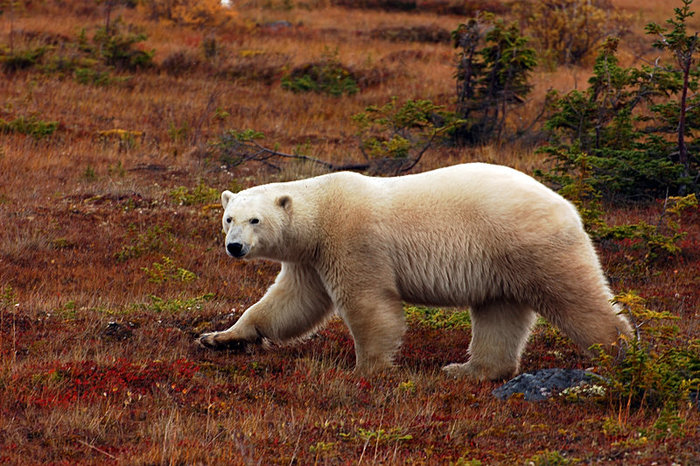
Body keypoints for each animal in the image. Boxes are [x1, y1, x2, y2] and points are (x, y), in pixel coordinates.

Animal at [198, 162, 636, 380]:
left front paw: (367, 369)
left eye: (255, 220)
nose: (234, 247)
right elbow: (289, 303)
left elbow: (369, 305)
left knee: (577, 299)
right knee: (499, 314)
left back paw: (622, 355)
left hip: (531, 246)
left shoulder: (353, 241)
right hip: (502, 265)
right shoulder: (310, 258)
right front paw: (219, 337)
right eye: (228, 217)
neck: (322, 212)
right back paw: (467, 370)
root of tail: (568, 206)